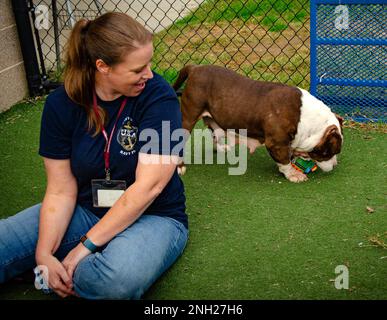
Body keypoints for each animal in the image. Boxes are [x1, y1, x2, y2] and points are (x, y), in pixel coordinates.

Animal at [174, 64, 344, 182]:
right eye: (330, 152)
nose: (336, 165)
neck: (306, 119)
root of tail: (195, 68)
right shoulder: (277, 143)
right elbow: (284, 160)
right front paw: (293, 174)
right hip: (188, 118)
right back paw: (180, 167)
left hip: (214, 119)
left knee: (215, 132)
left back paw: (222, 148)